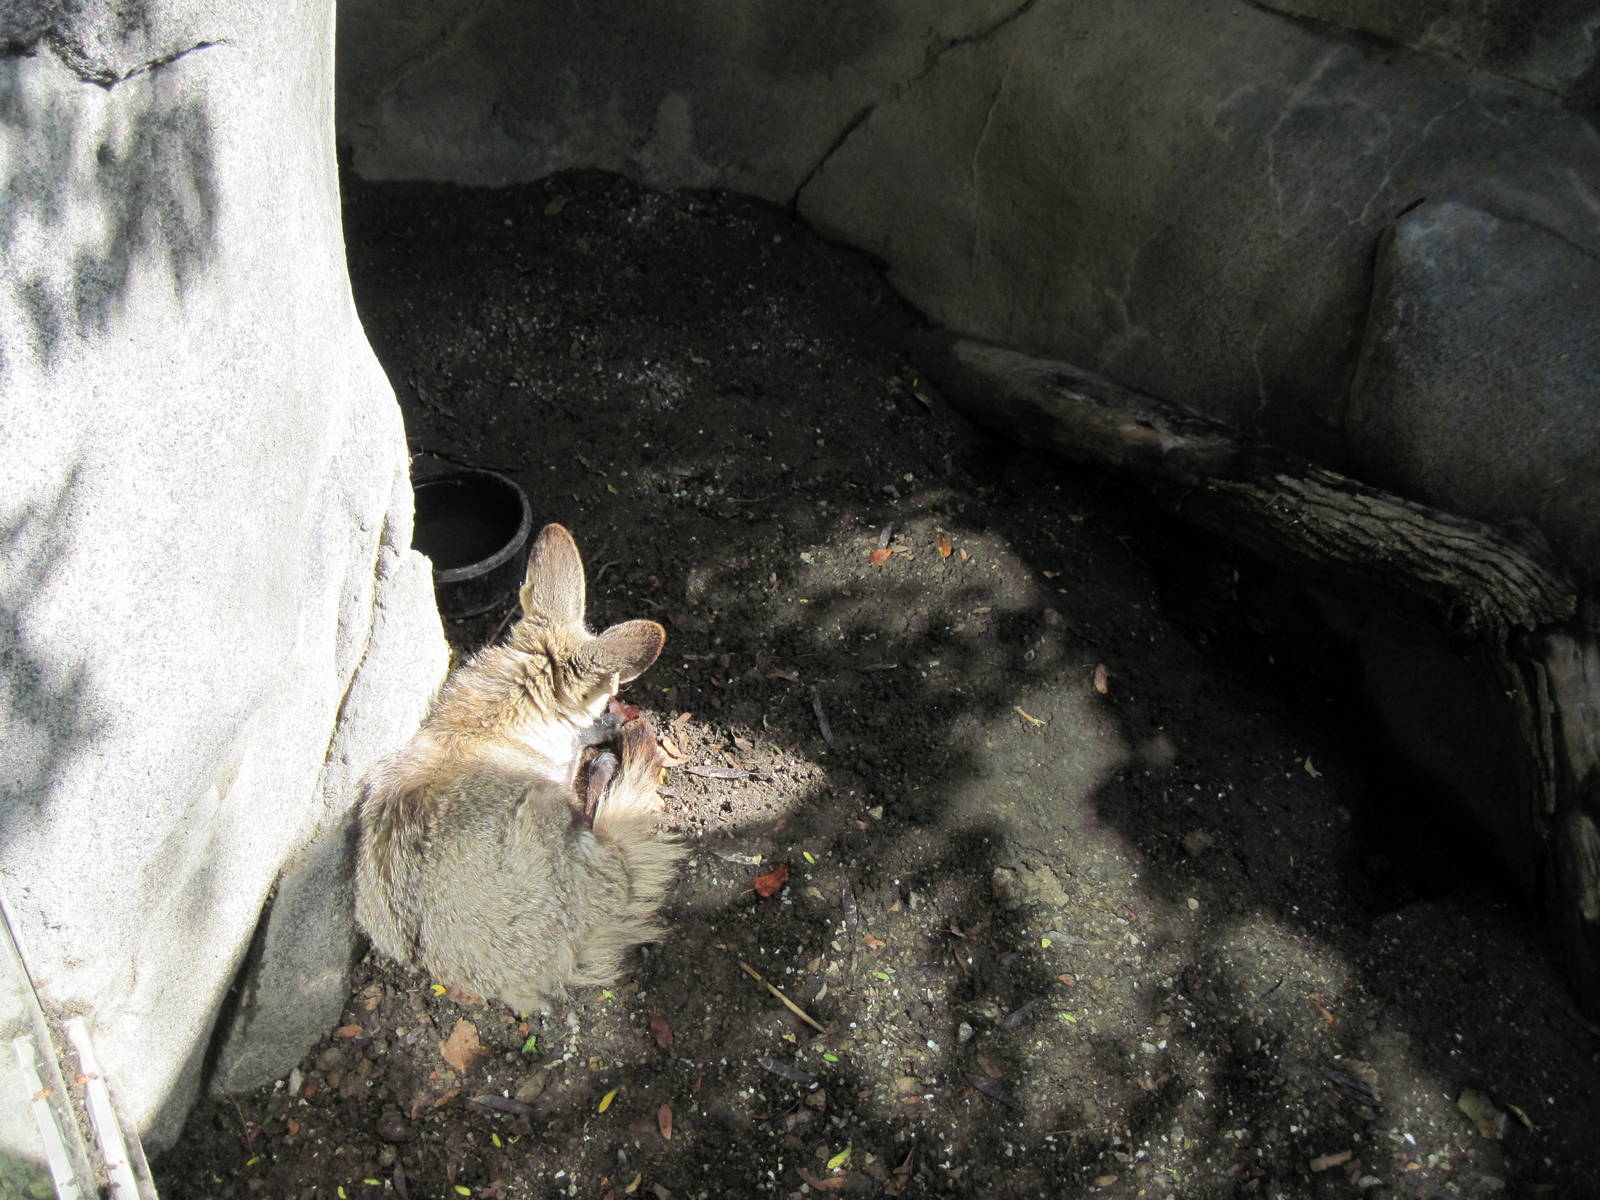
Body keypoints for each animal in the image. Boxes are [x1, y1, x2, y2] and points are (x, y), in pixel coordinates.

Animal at [354, 523, 683, 1012]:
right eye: (607, 691)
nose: (614, 707)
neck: (484, 724)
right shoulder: (557, 781)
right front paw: (602, 733)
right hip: (558, 818)